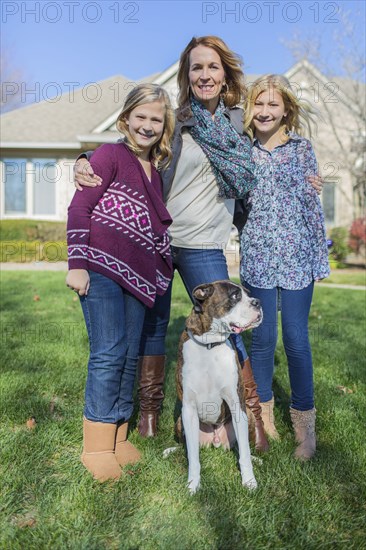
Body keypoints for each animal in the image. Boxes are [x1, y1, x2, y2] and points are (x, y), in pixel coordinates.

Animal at [175, 280, 264, 496]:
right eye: (234, 296)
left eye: (248, 294)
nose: (257, 302)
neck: (210, 344)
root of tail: (216, 439)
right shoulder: (188, 409)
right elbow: (193, 457)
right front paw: (193, 485)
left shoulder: (237, 404)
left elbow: (245, 454)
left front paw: (249, 482)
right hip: (180, 420)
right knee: (185, 447)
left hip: (248, 415)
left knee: (242, 447)